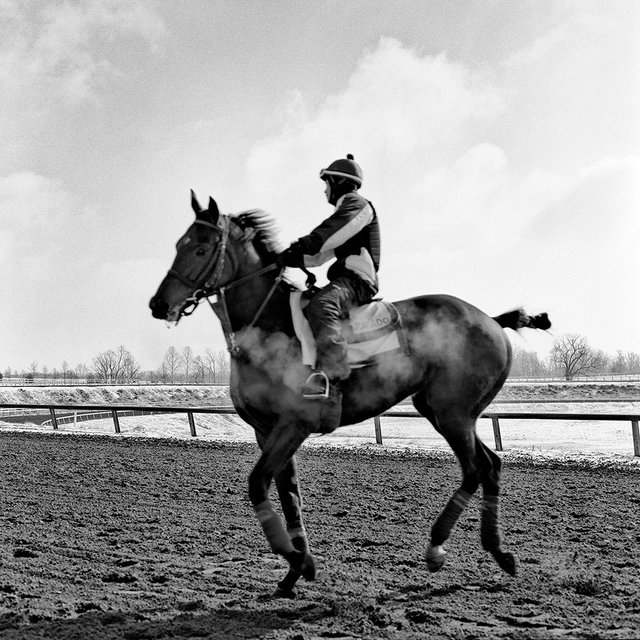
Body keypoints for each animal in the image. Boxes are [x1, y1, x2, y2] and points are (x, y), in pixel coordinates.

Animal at [150, 192, 552, 596]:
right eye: (178, 245)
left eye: (201, 249)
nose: (158, 305)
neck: (268, 326)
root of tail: (490, 320)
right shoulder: (266, 430)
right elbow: (289, 496)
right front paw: (297, 568)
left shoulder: (293, 425)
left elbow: (258, 484)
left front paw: (295, 559)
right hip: (444, 412)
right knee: (490, 465)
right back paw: (498, 552)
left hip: (453, 413)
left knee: (474, 469)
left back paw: (437, 547)